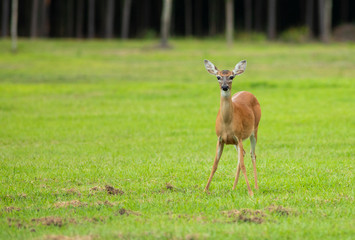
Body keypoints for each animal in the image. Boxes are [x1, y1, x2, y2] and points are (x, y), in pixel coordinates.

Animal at [203, 59, 262, 196]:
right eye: (218, 77)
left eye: (231, 76)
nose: (225, 87)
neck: (227, 123)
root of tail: (248, 92)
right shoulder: (220, 139)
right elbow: (214, 164)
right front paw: (205, 189)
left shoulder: (239, 136)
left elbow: (243, 165)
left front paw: (250, 192)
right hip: (236, 141)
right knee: (243, 155)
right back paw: (234, 187)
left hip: (254, 129)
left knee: (252, 154)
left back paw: (256, 187)